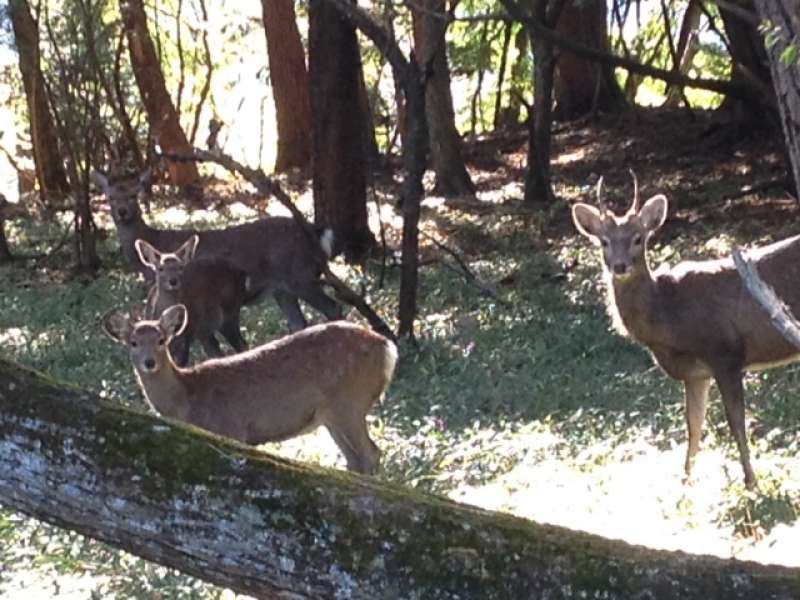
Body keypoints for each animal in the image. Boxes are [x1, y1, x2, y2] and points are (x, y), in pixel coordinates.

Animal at [92, 169, 342, 332]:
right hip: (283, 288)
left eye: (133, 195)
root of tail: (316, 234)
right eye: (110, 197)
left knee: (333, 307)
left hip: (301, 276)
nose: (122, 212)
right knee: (298, 322)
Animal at [103, 308, 396, 476]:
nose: (149, 362)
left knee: (371, 454)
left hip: (350, 402)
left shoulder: (231, 431)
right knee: (355, 460)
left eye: (162, 340)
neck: (188, 400)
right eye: (133, 342)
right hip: (331, 416)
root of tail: (387, 349)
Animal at [135, 234, 247, 366]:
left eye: (180, 267)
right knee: (217, 350)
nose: (173, 281)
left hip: (229, 313)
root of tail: (241, 272)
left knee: (241, 345)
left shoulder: (186, 335)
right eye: (160, 268)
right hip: (205, 330)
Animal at [572, 171, 800, 490]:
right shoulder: (696, 374)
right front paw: (685, 482)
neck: (668, 317)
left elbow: (737, 423)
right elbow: (693, 425)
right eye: (603, 241)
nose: (619, 266)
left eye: (638, 238)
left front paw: (751, 483)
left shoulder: (725, 352)